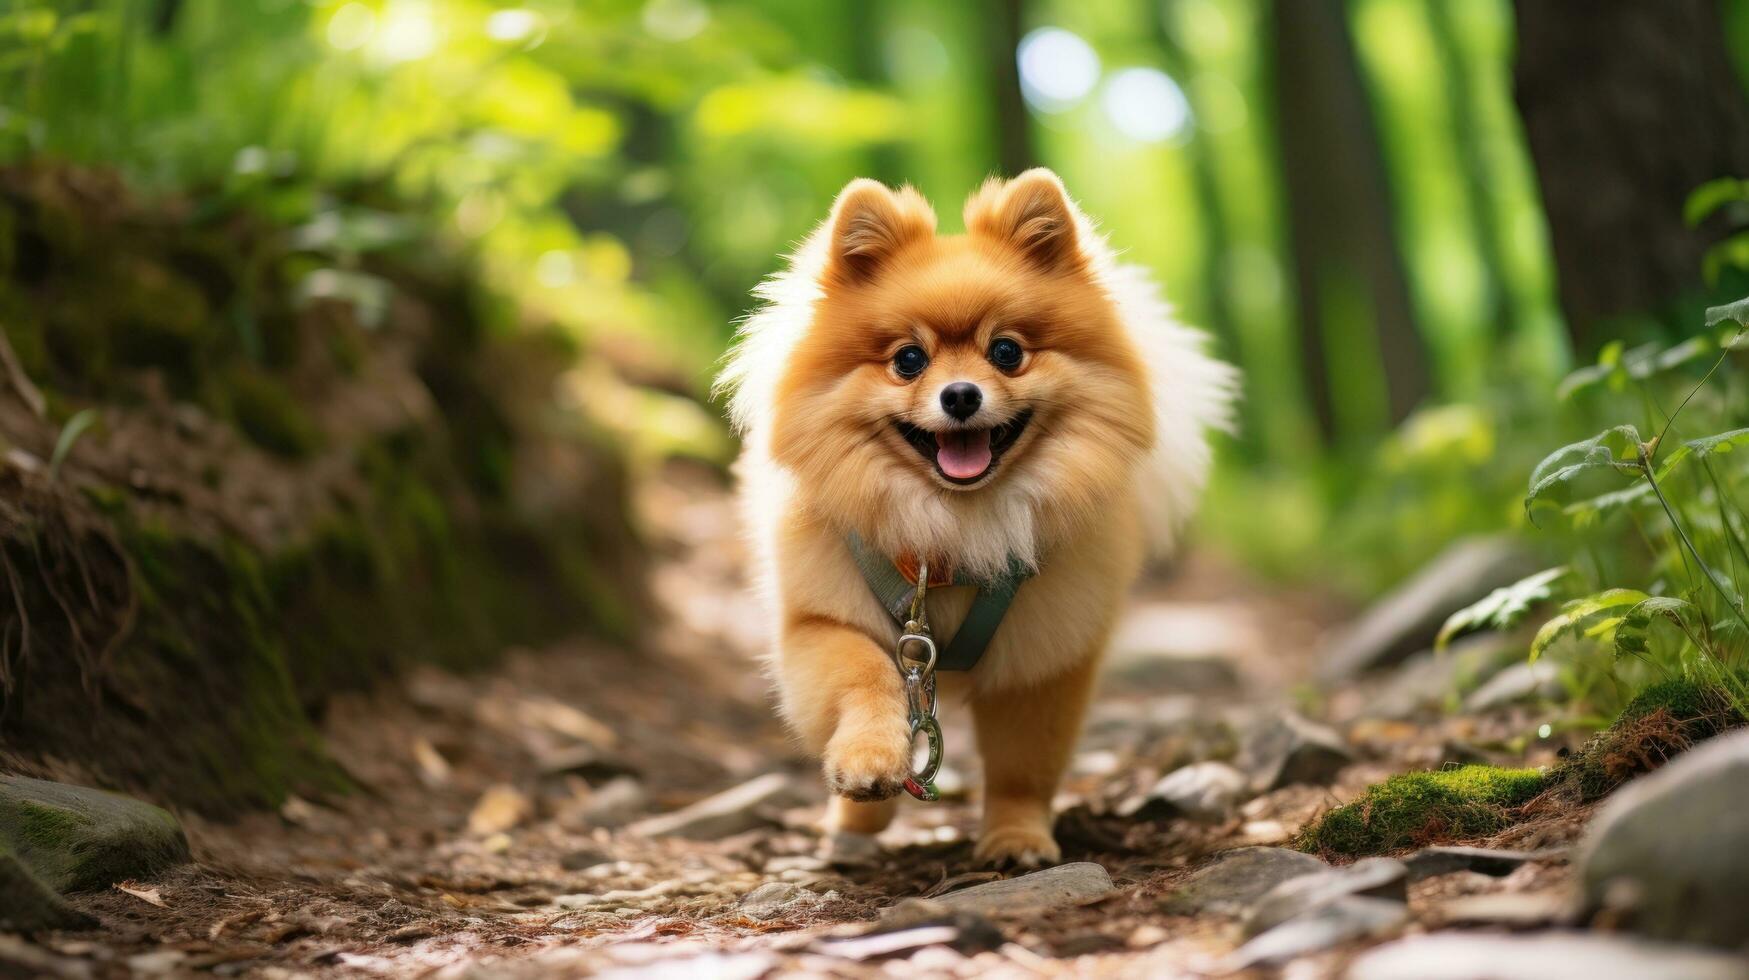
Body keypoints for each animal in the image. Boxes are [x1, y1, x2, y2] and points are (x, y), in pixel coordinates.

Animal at [717, 170, 1238, 864]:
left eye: (1007, 351)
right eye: (909, 360)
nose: (961, 394)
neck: (954, 527)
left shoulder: (1045, 655)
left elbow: (1025, 765)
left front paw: (1015, 837)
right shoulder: (820, 620)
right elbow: (866, 675)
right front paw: (868, 762)